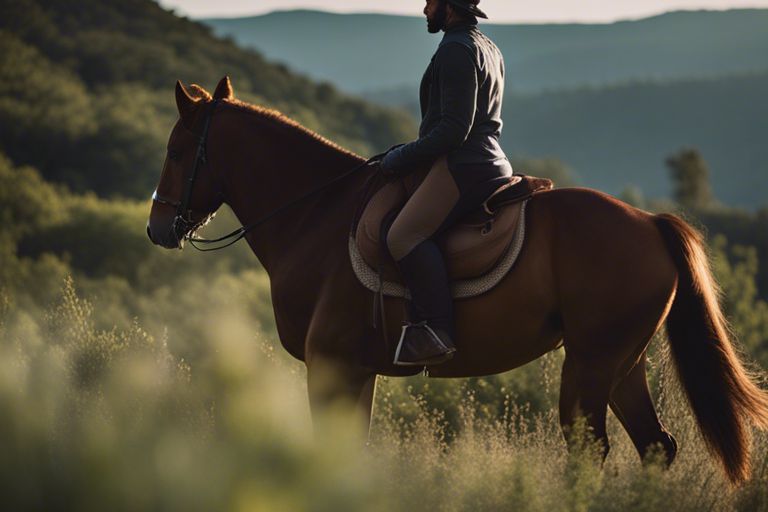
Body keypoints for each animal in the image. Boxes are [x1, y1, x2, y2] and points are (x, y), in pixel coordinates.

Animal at [146, 76, 768, 484]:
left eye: (176, 152)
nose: (156, 228)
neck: (315, 215)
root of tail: (650, 222)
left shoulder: (332, 365)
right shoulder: (354, 370)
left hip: (591, 364)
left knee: (591, 452)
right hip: (622, 363)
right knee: (655, 447)